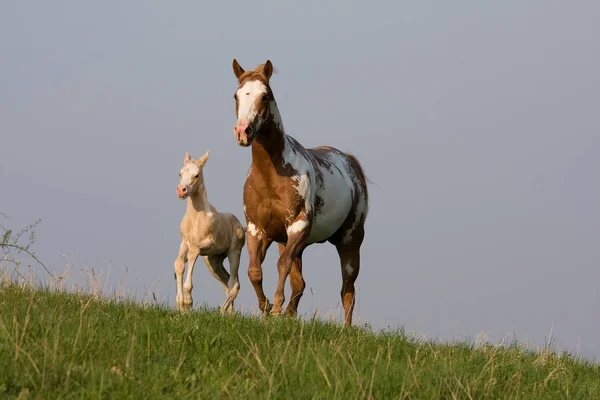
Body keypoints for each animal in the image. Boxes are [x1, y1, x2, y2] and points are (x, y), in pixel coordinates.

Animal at [173, 150, 246, 312]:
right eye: (180, 173)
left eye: (196, 175)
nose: (181, 191)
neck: (195, 219)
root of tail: (241, 226)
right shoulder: (184, 243)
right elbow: (178, 264)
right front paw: (180, 305)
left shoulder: (199, 247)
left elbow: (190, 265)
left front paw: (188, 303)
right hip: (213, 261)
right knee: (226, 282)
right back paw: (231, 313)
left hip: (234, 253)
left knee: (234, 284)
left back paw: (222, 312)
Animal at [231, 60, 368, 328]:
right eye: (237, 95)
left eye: (265, 95)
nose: (243, 132)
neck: (271, 177)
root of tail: (349, 162)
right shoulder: (257, 229)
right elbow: (255, 271)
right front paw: (265, 309)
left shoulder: (297, 226)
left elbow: (281, 265)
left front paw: (275, 308)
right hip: (294, 243)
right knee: (300, 284)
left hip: (350, 241)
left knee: (348, 290)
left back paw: (346, 329)